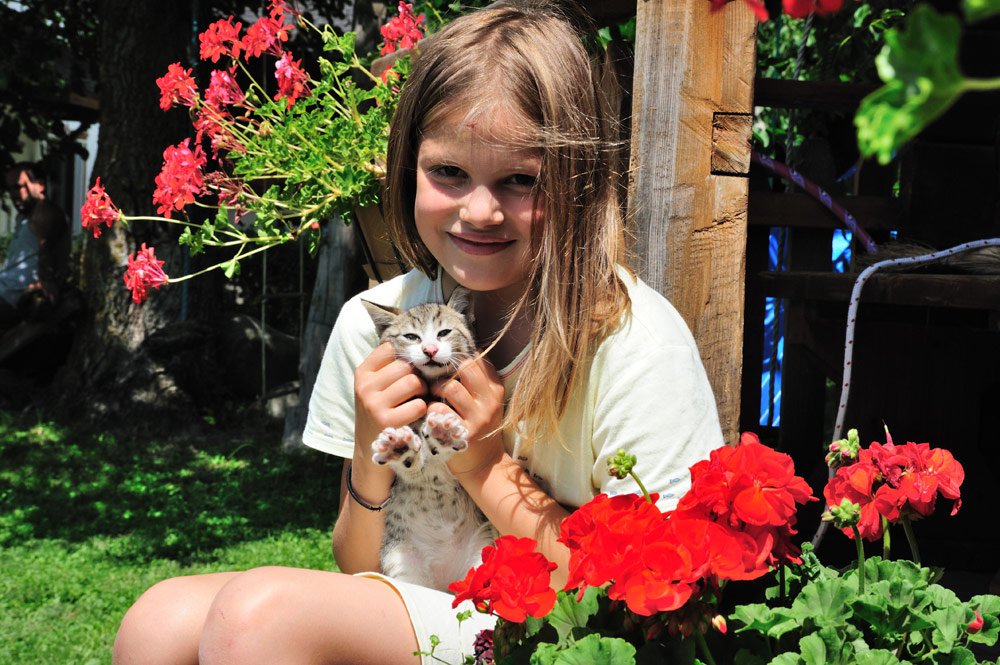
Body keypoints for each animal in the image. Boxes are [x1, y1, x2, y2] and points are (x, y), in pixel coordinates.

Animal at [361, 287, 497, 592]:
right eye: (412, 337)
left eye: (444, 332)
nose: (430, 350)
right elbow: (415, 467)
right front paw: (402, 447)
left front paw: (443, 434)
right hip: (400, 559)